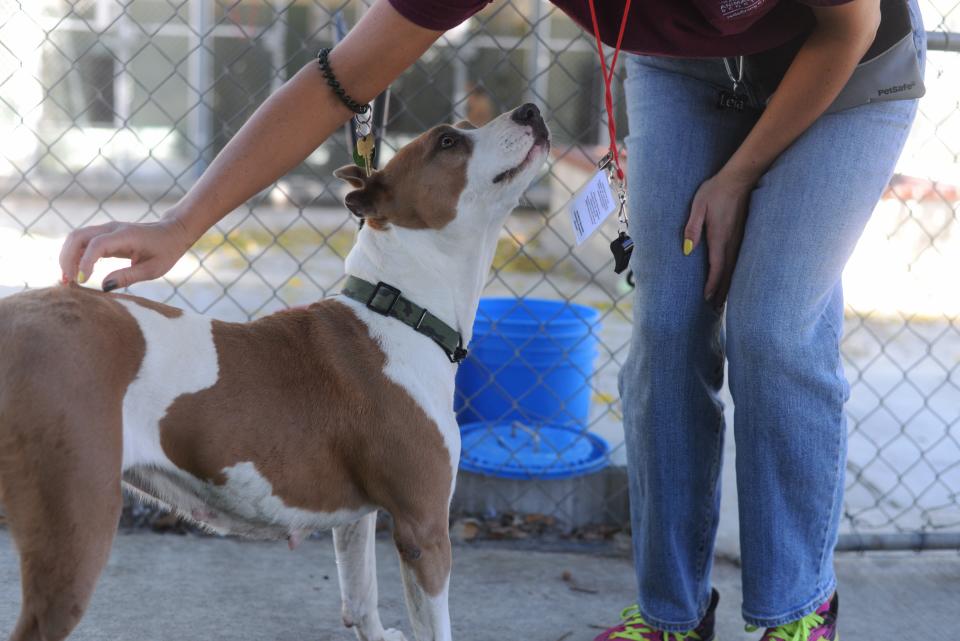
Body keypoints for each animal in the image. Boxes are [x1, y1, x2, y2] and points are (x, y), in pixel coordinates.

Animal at [0, 104, 548, 640]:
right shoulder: (424, 529)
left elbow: (361, 596)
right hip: (76, 531)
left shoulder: (359, 519)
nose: (530, 110)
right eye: (447, 142)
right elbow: (434, 625)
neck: (398, 307)